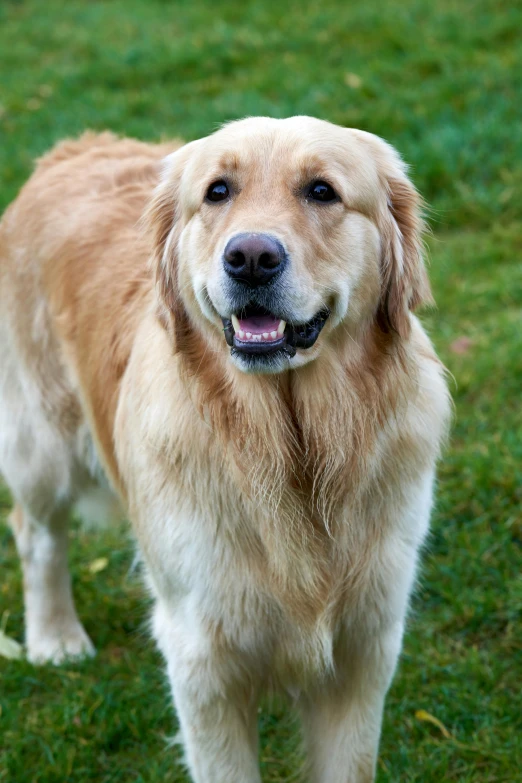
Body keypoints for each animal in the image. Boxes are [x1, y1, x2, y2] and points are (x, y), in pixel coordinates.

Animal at [0, 118, 446, 783]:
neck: (287, 443)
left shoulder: (364, 649)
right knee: (36, 533)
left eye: (322, 191)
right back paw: (55, 638)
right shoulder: (202, 659)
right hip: (42, 446)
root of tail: (72, 148)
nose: (251, 258)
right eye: (217, 192)